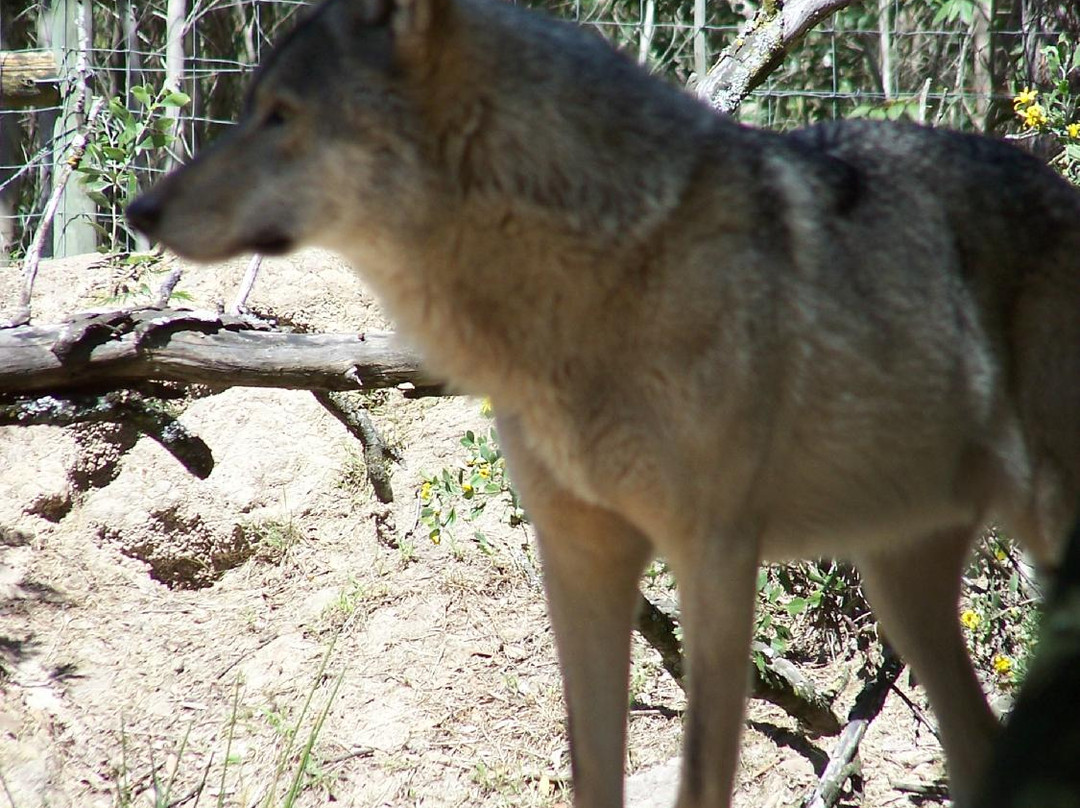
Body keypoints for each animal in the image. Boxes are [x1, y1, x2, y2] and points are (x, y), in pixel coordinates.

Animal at [122, 1, 1080, 808]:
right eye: (252, 106)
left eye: (281, 115)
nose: (140, 210)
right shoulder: (578, 561)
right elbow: (593, 772)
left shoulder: (714, 559)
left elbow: (701, 782)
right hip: (901, 586)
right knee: (979, 749)